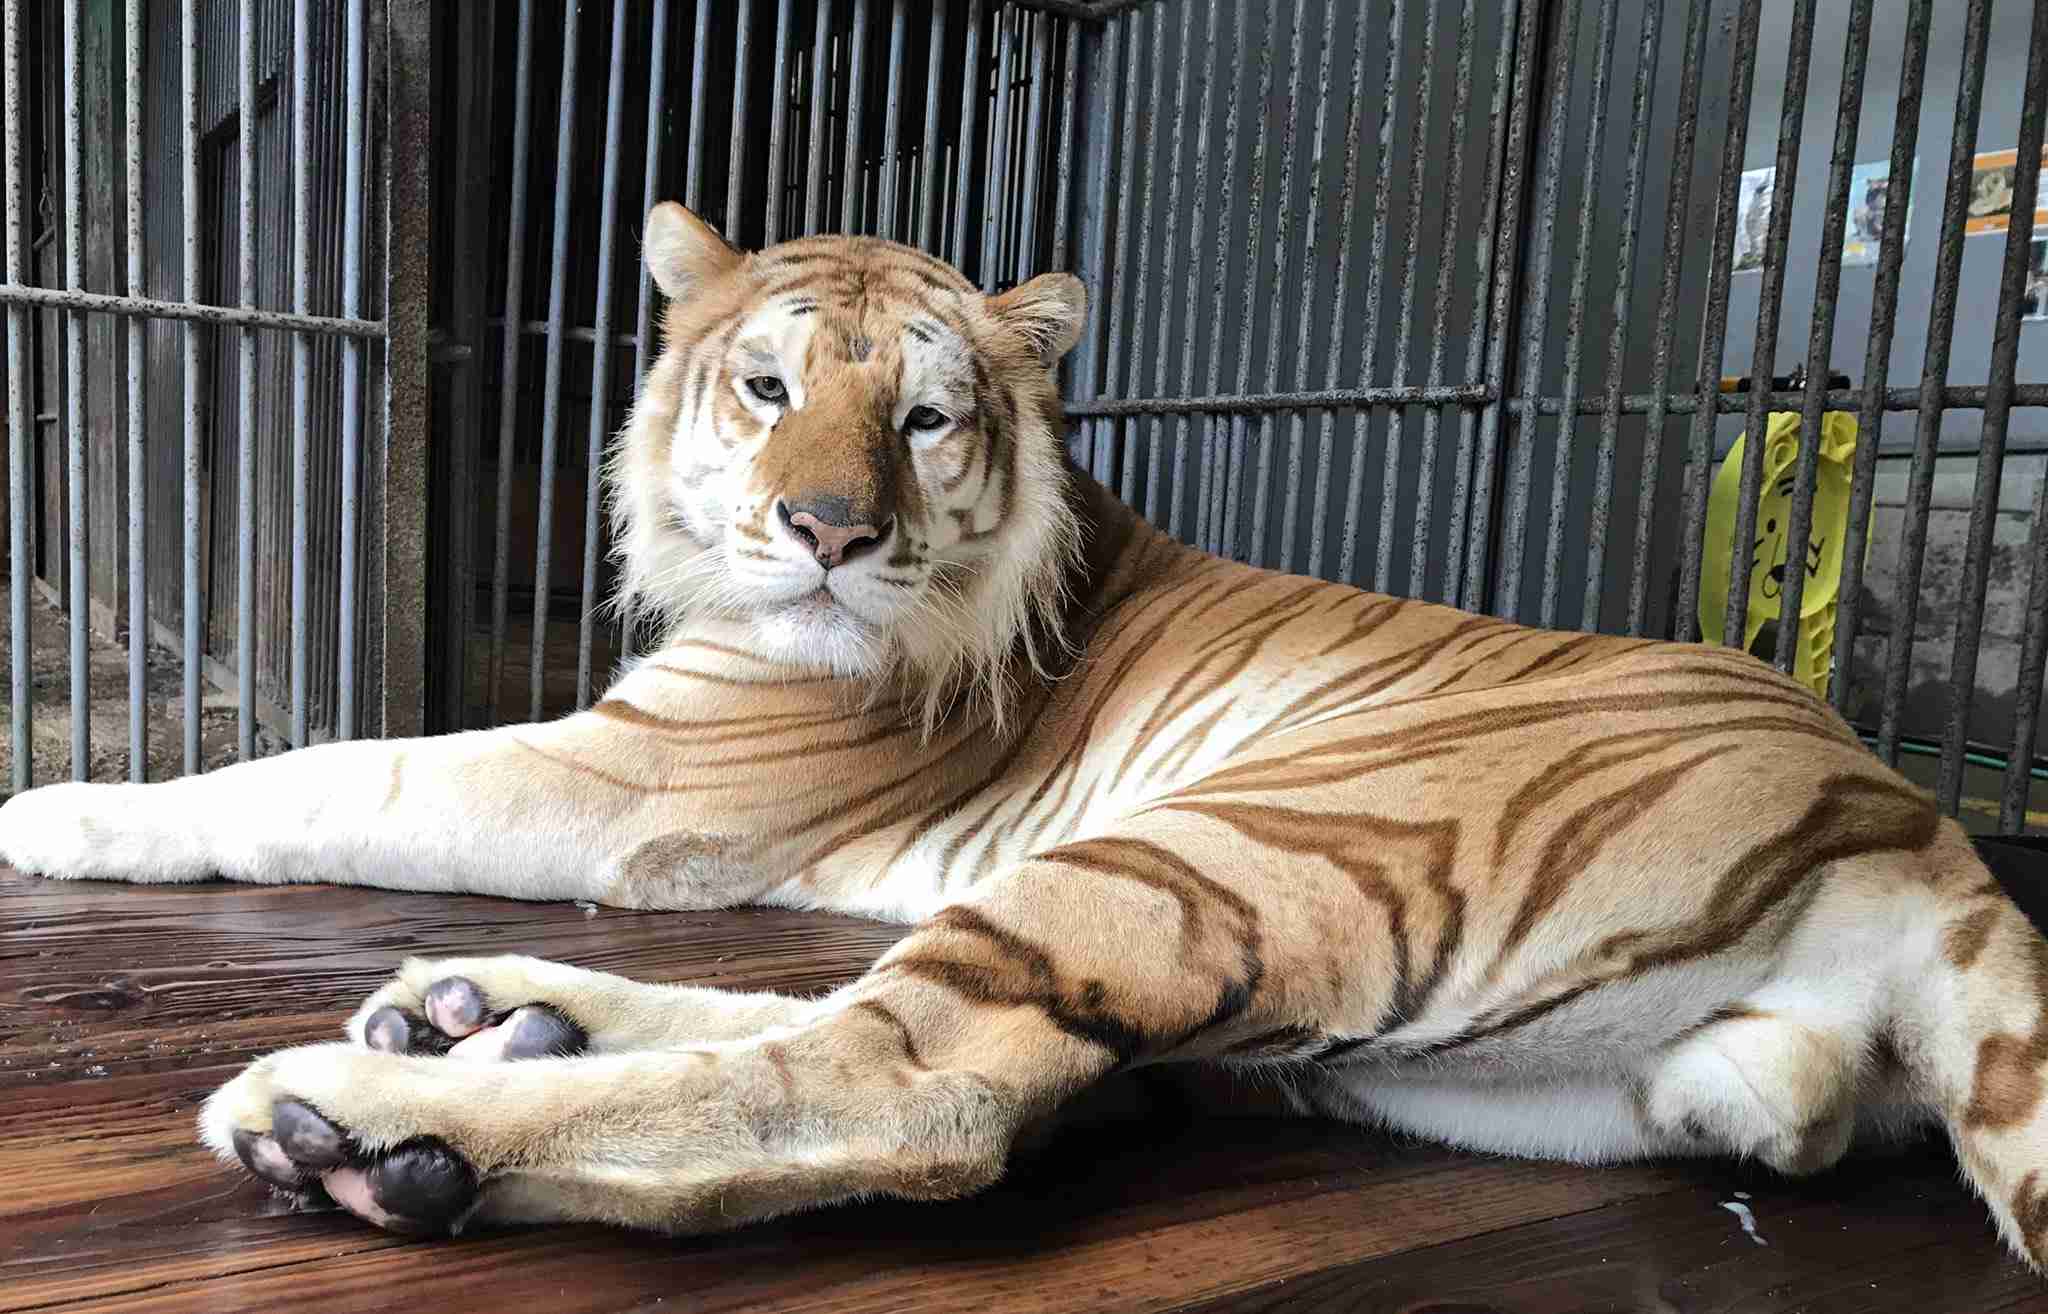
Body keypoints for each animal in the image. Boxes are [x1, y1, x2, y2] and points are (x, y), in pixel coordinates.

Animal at [2, 201, 2045, 1270]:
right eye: (766, 388)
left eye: (921, 419)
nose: (828, 530)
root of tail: (1918, 828)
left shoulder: (627, 776)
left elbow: (336, 767)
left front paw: (57, 805)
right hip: (1447, 1059)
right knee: (917, 1030)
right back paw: (473, 1010)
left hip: (1239, 844)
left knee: (898, 1083)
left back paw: (360, 1118)